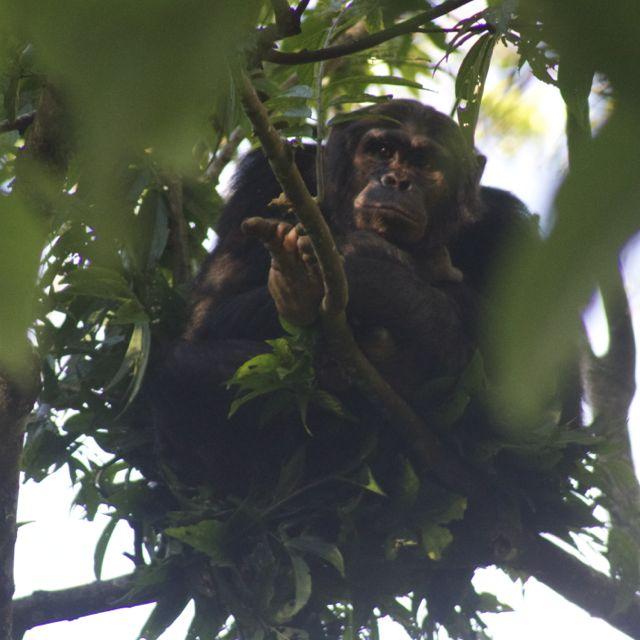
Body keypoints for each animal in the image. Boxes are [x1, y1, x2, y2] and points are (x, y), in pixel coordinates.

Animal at [152, 99, 536, 490]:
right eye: (381, 150)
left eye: (424, 163)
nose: (397, 181)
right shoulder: (262, 183)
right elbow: (207, 313)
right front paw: (313, 274)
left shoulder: (506, 226)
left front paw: (370, 265)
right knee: (180, 367)